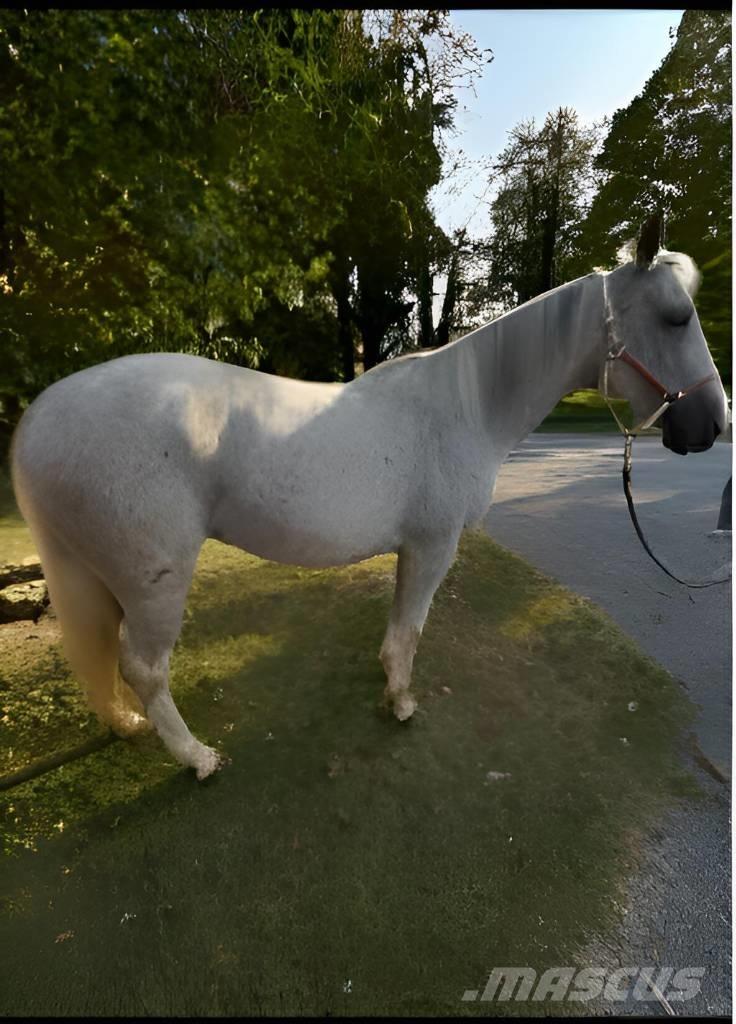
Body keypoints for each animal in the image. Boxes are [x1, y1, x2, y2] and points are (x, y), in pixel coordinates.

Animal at [10, 216, 728, 779]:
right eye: (677, 317)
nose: (710, 426)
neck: (466, 405)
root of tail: (40, 418)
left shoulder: (414, 546)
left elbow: (398, 627)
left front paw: (389, 686)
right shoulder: (435, 544)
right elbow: (411, 628)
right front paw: (402, 703)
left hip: (95, 573)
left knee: (103, 652)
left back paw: (127, 725)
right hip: (154, 579)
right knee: (144, 666)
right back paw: (197, 758)